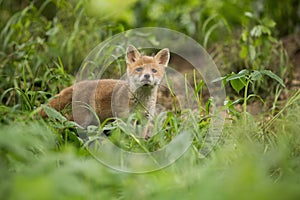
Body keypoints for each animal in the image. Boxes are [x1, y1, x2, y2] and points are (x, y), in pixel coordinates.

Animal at [39, 45, 170, 133]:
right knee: (66, 124)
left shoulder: (144, 120)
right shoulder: (124, 118)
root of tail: (77, 85)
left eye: (154, 70)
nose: (147, 76)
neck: (141, 102)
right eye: (139, 69)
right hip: (82, 119)